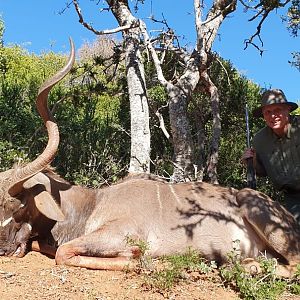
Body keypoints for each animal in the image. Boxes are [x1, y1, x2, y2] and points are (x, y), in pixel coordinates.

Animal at [0, 41, 300, 276]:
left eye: (19, 205)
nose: (3, 248)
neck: (92, 204)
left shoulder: (120, 233)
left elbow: (64, 252)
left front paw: (138, 257)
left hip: (255, 206)